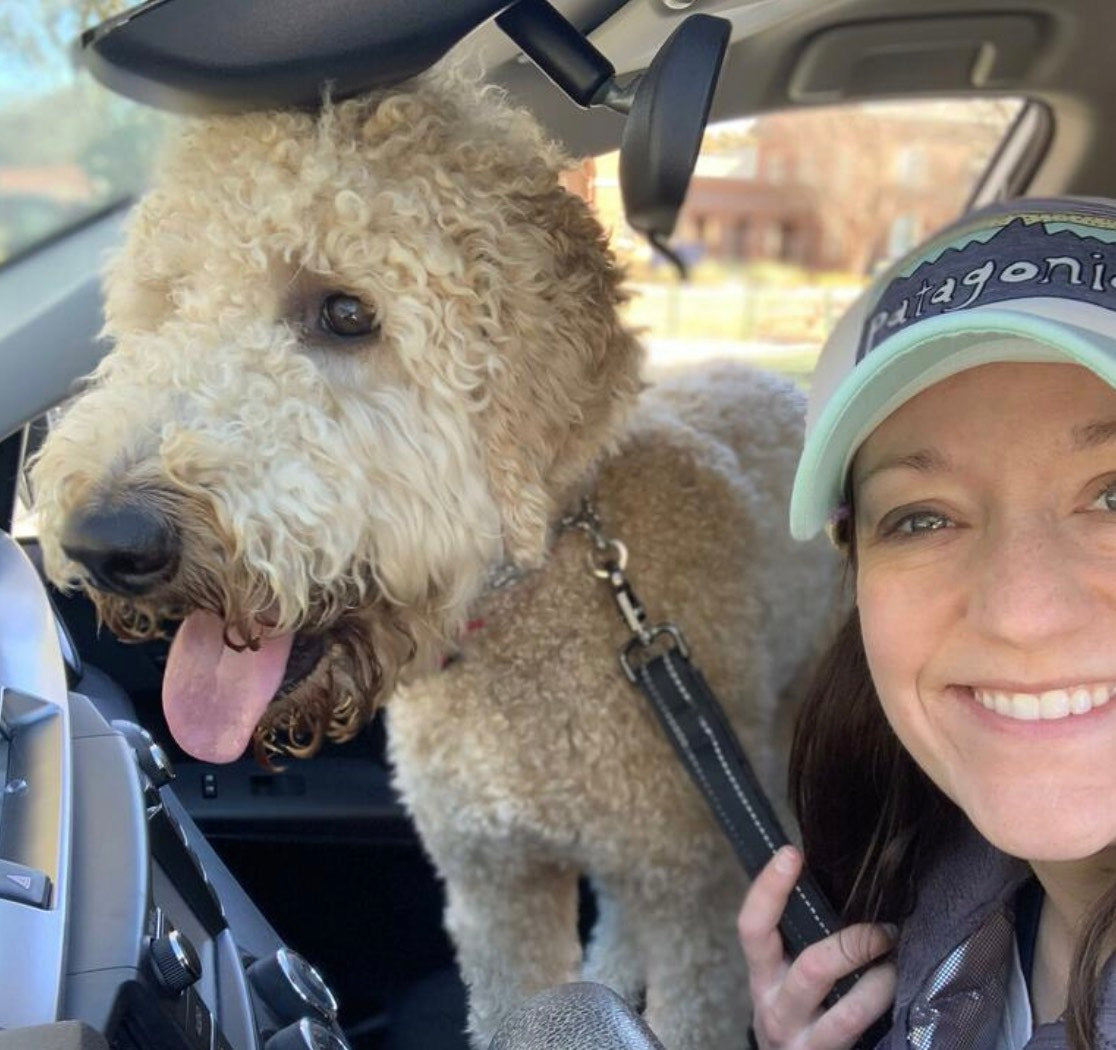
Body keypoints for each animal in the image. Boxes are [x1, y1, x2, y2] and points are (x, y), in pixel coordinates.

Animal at [30, 67, 839, 1048]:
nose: (105, 540)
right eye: (170, 302)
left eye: (347, 313)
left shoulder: (696, 897)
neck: (540, 604)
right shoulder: (494, 885)